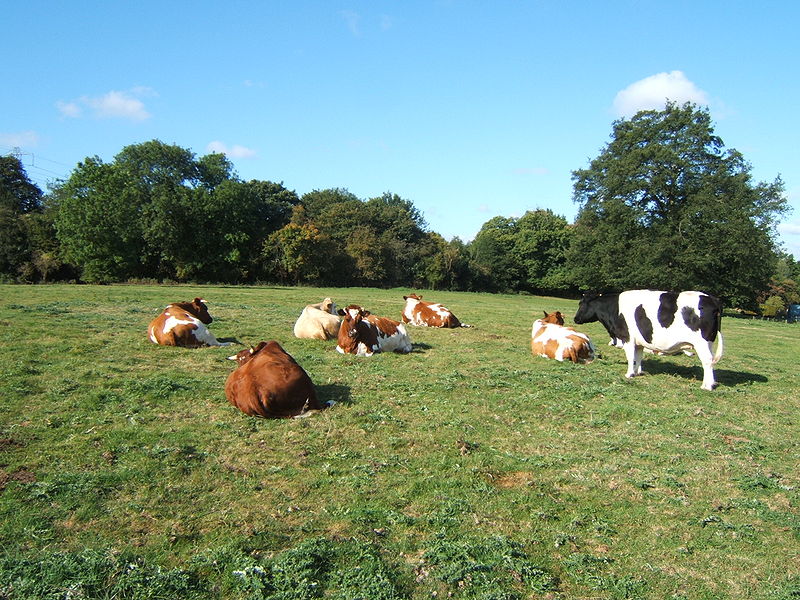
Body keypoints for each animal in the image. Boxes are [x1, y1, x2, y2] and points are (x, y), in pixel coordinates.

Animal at [576, 290, 724, 392]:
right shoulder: (639, 342)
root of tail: (713, 299)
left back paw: (706, 386)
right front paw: (637, 372)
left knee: (707, 361)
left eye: (581, 304)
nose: (575, 319)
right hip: (709, 343)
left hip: (702, 343)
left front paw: (629, 374)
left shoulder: (628, 338)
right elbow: (638, 357)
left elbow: (630, 357)